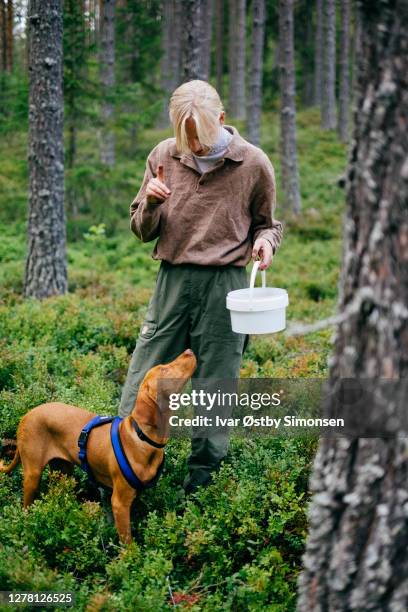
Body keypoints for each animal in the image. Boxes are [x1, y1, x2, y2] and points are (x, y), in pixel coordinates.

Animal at [0, 350, 198, 544]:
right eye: (164, 370)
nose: (189, 351)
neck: (143, 437)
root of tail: (27, 415)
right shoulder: (119, 502)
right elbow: (128, 542)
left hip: (63, 472)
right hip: (32, 475)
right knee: (26, 507)